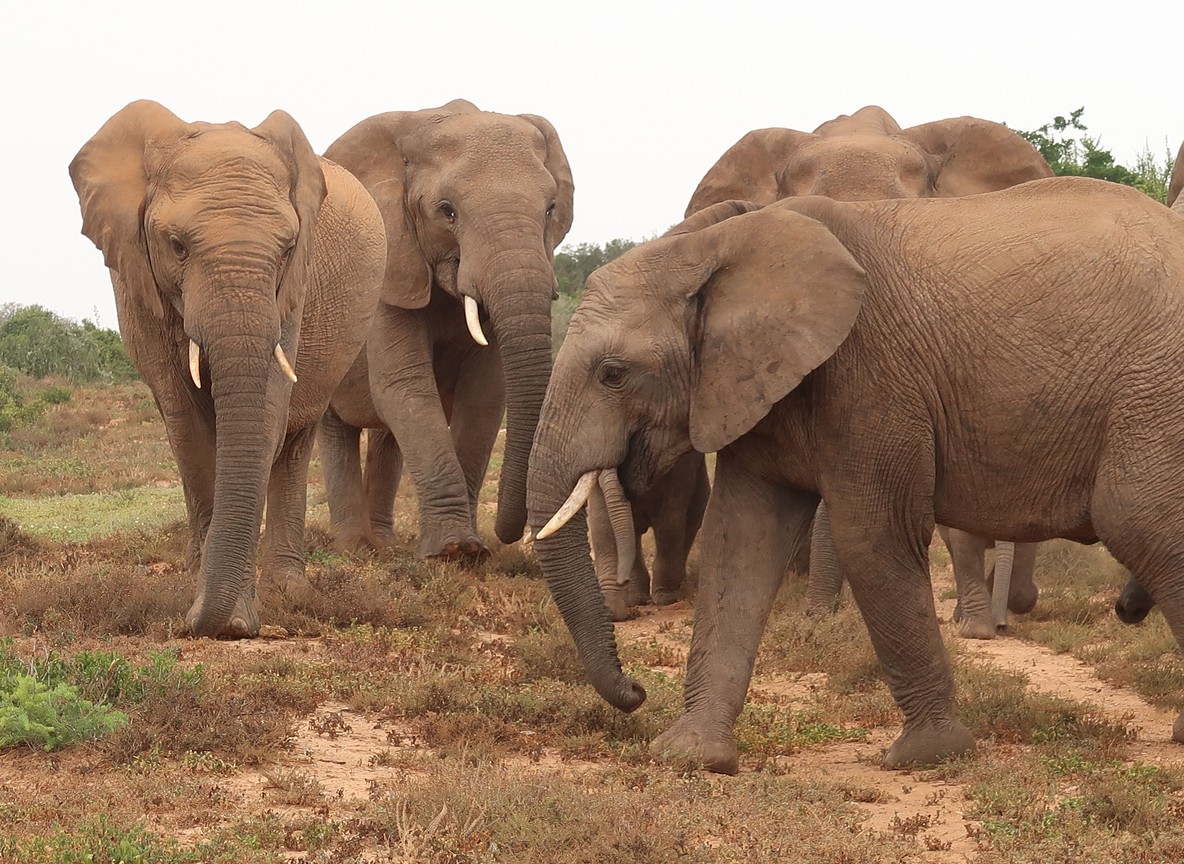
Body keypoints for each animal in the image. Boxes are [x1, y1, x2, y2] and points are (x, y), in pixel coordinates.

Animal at [70, 100, 385, 638]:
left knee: (295, 440)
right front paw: (201, 599)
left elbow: (267, 416)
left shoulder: (293, 289)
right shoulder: (137, 279)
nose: (200, 624)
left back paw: (290, 589)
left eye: (287, 248)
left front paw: (235, 617)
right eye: (176, 245)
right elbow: (188, 426)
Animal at [317, 100, 573, 559]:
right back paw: (355, 548)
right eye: (447, 211)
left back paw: (385, 543)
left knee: (387, 435)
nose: (512, 535)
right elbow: (404, 385)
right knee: (335, 425)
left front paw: (471, 554)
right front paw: (454, 551)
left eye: (550, 209)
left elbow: (485, 394)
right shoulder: (391, 265)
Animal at [527, 178, 1184, 776]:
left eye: (613, 373)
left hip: (1153, 391)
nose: (635, 692)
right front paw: (691, 757)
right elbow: (739, 542)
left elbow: (871, 537)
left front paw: (927, 757)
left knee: (1145, 526)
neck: (717, 242)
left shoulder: (870, 375)